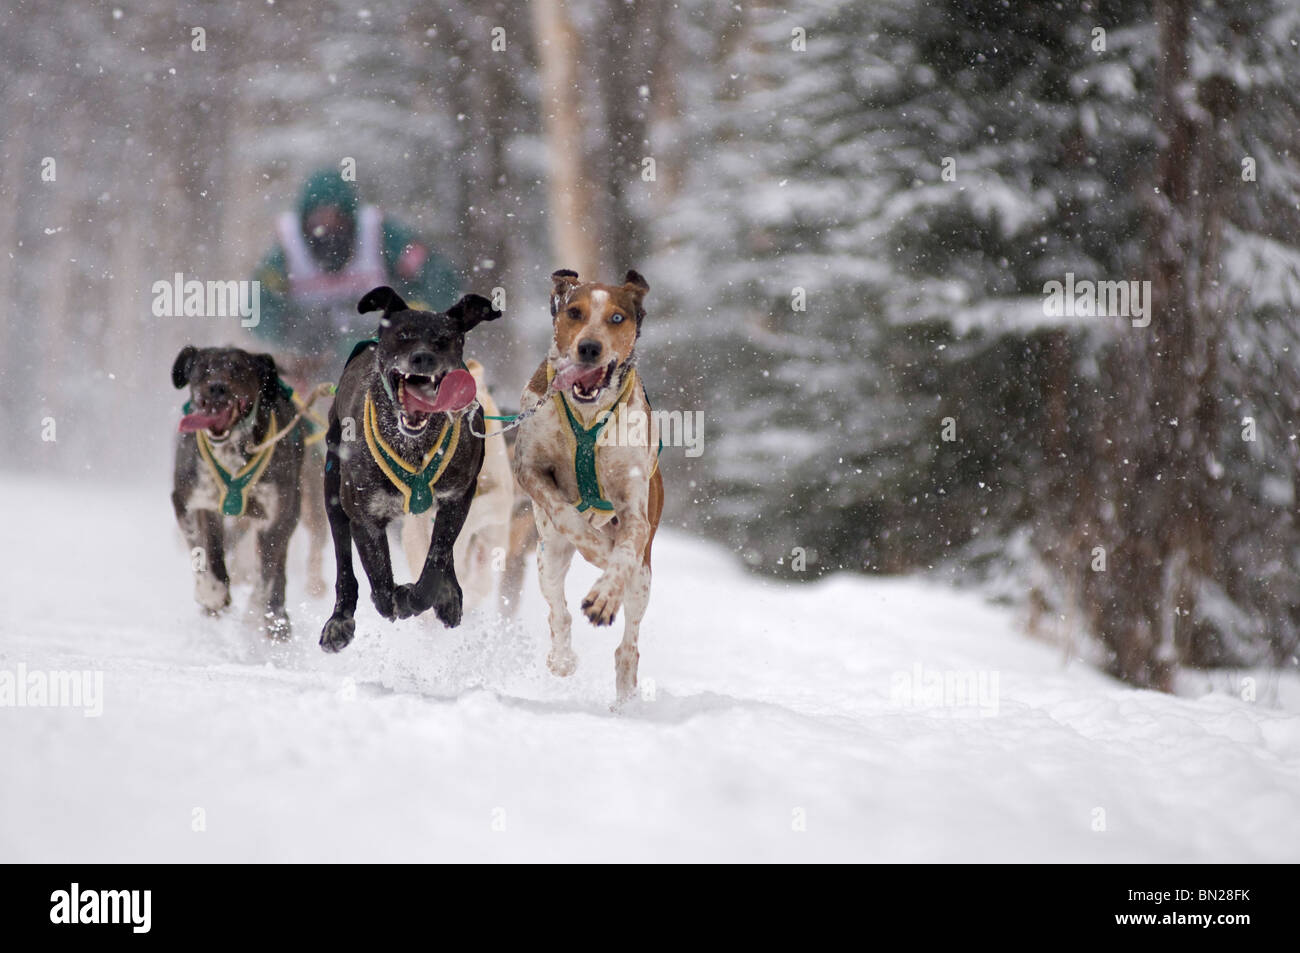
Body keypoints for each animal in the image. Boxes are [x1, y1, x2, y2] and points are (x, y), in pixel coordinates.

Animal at [170, 345, 304, 634]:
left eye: (238, 369)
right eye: (203, 367)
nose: (217, 388)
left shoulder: (275, 517)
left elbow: (266, 574)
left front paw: (256, 614)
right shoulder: (188, 501)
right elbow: (200, 554)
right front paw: (211, 595)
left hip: (292, 510)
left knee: (277, 568)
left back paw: (276, 618)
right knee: (216, 550)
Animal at [317, 286, 499, 650]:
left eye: (444, 339)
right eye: (403, 335)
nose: (423, 358)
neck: (414, 445)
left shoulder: (458, 496)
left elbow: (436, 561)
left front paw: (427, 596)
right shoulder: (365, 515)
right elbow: (380, 581)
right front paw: (394, 597)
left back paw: (449, 595)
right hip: (333, 489)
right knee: (344, 563)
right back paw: (340, 619)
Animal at [512, 271, 665, 702]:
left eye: (616, 318)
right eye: (574, 313)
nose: (590, 347)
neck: (587, 415)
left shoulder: (634, 511)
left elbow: (625, 551)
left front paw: (604, 596)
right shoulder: (529, 469)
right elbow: (567, 514)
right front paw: (598, 548)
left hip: (643, 582)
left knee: (628, 646)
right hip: (547, 557)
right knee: (558, 612)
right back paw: (561, 659)